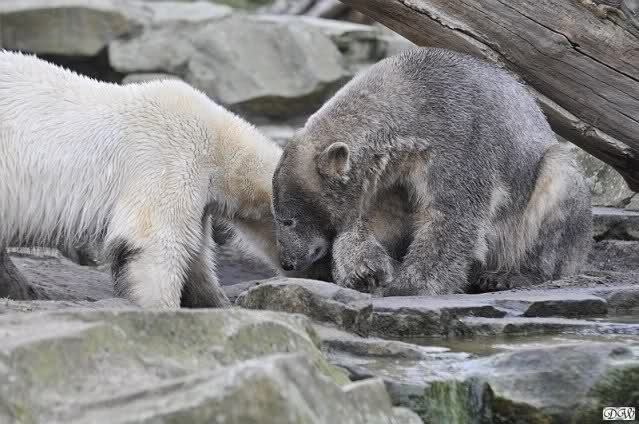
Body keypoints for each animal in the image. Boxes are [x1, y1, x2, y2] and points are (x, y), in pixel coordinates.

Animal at [0, 50, 286, 308]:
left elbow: (196, 255)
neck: (218, 144)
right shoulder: (170, 160)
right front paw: (162, 307)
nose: (296, 268)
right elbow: (155, 239)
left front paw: (215, 302)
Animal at [272, 47, 592, 296]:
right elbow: (374, 219)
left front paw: (407, 287)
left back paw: (507, 276)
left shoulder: (460, 140)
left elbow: (451, 217)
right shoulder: (387, 176)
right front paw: (365, 271)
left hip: (544, 187)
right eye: (280, 218)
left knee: (557, 188)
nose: (287, 261)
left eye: (288, 220)